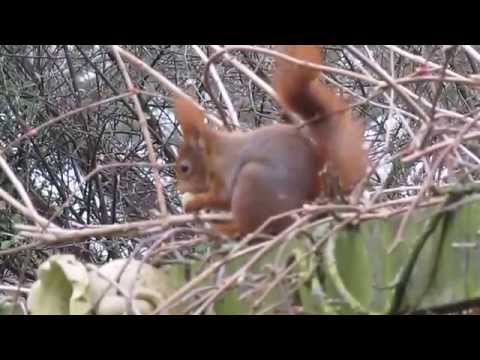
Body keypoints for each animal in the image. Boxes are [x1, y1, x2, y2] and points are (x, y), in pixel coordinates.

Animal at [174, 45, 370, 236]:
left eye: (185, 168)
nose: (180, 188)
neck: (214, 154)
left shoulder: (226, 169)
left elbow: (223, 197)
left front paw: (193, 203)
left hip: (252, 182)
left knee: (251, 227)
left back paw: (229, 229)